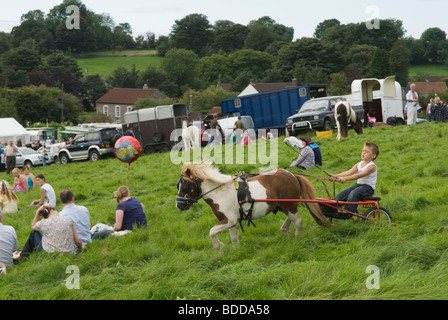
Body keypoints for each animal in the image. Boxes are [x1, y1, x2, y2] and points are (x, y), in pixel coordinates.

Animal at [177, 161, 330, 249]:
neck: (220, 192)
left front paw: (219, 246)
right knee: (291, 218)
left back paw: (297, 237)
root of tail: (292, 175)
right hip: (283, 205)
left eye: (184, 186)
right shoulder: (232, 222)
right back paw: (285, 230)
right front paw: (236, 251)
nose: (179, 205)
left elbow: (212, 231)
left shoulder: (228, 220)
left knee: (297, 220)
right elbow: (234, 238)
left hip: (288, 205)